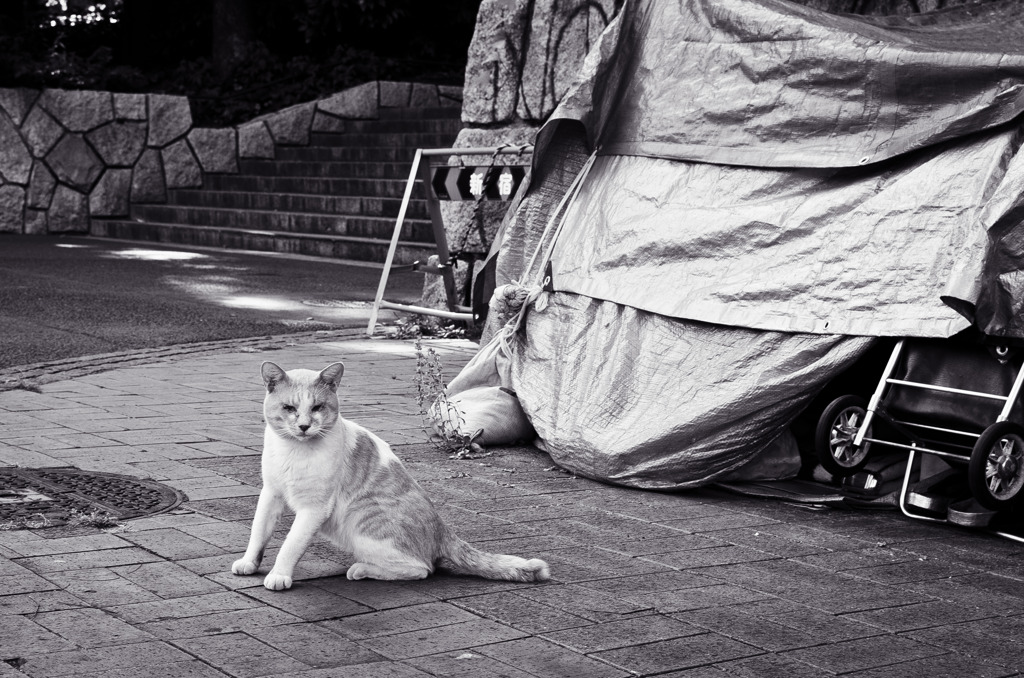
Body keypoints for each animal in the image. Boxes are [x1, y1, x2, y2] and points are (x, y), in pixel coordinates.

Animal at [232, 360, 552, 589]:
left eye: (317, 407)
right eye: (289, 408)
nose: (303, 426)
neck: (293, 450)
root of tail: (443, 528)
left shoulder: (313, 509)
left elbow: (290, 545)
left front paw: (279, 575)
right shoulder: (271, 494)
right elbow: (258, 533)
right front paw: (250, 563)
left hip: (363, 522)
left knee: (422, 568)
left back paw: (361, 569)